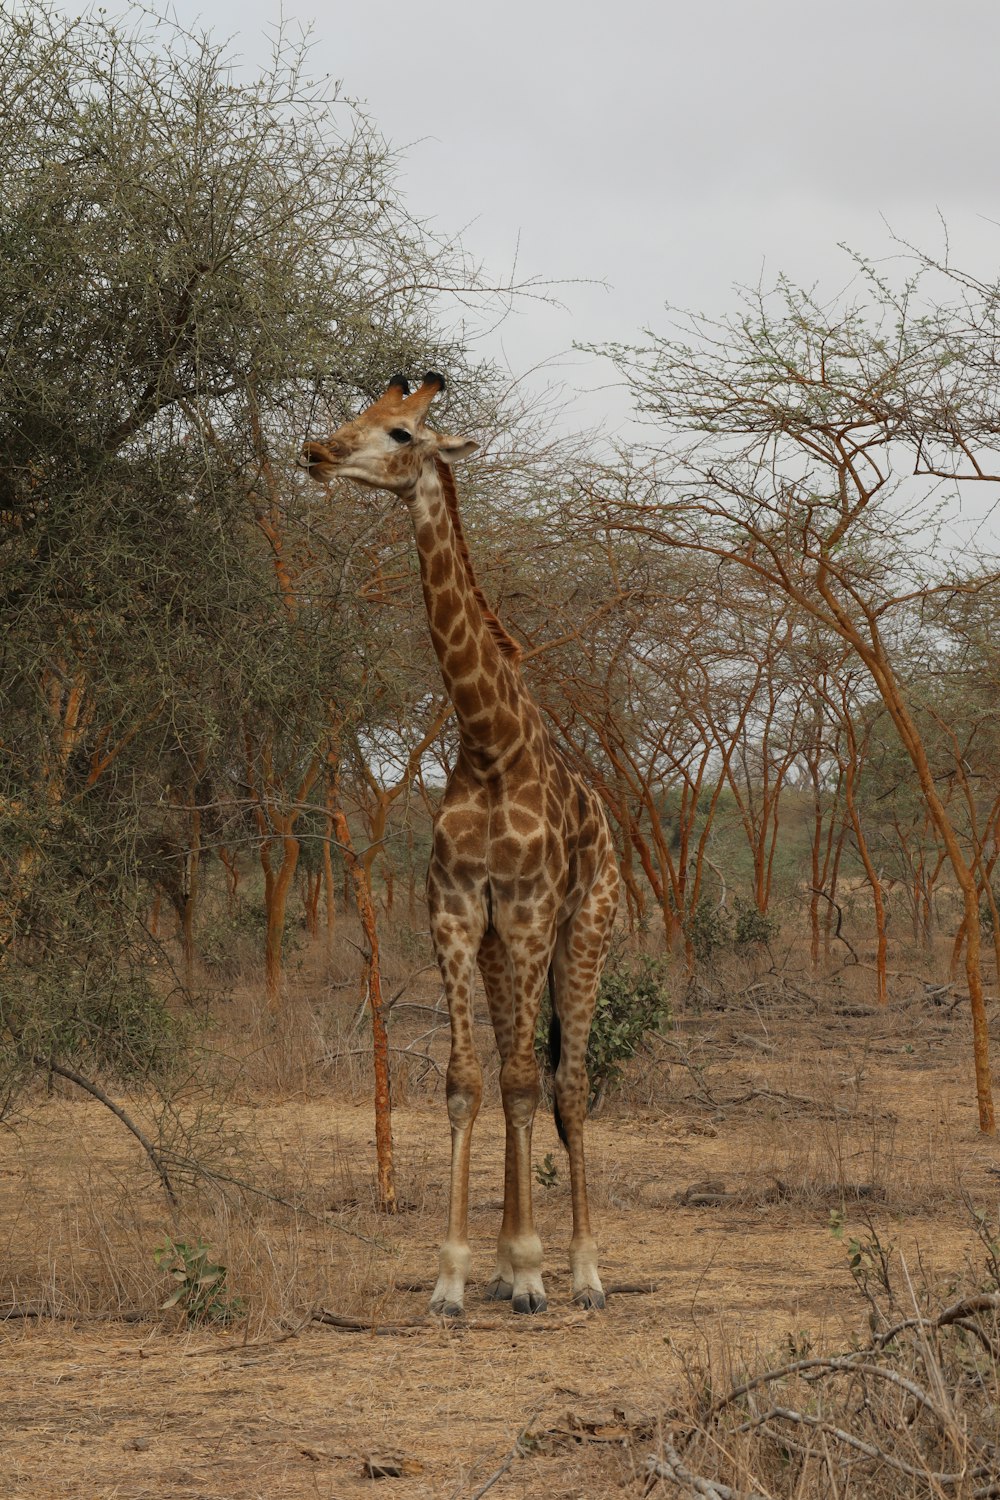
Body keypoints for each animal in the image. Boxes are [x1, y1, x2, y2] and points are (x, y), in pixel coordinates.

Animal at [305, 375, 617, 1314]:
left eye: (402, 431)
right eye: (360, 414)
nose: (318, 452)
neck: (489, 742)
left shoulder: (528, 910)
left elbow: (524, 1080)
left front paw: (535, 1270)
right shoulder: (453, 912)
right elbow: (466, 1083)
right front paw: (455, 1274)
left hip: (584, 929)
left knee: (567, 1081)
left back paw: (582, 1270)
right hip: (497, 947)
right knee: (520, 1073)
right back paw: (517, 1262)